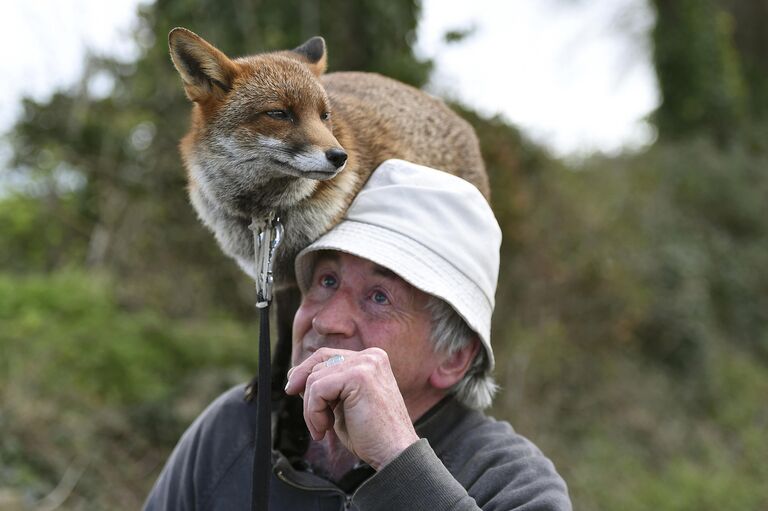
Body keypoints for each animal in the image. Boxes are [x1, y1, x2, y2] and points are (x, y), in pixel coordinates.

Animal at [170, 27, 488, 392]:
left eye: (324, 115)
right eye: (279, 114)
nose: (339, 157)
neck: (268, 213)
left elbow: (291, 337)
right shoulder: (281, 278)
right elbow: (286, 334)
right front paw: (272, 384)